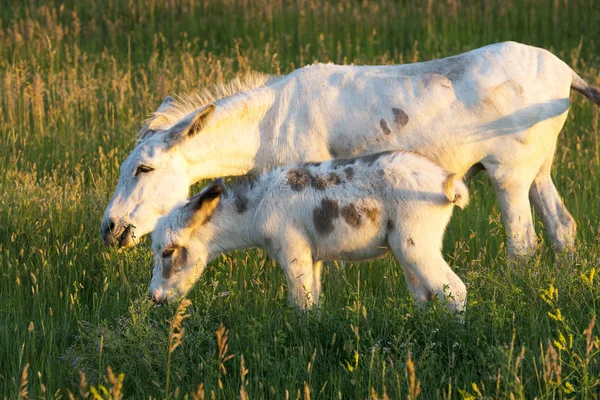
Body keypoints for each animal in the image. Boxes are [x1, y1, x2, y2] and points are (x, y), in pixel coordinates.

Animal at [150, 152, 468, 310]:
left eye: (168, 252)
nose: (155, 297)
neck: (258, 206)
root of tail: (445, 181)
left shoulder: (293, 252)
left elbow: (301, 305)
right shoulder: (313, 259)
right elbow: (314, 303)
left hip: (416, 245)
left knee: (455, 291)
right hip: (406, 250)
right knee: (425, 295)